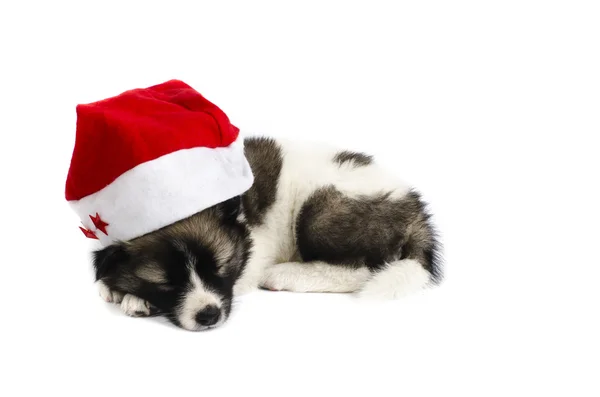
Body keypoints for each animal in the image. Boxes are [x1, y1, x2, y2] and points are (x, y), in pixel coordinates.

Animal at [92, 138, 440, 330]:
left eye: (221, 266)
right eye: (166, 283)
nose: (208, 315)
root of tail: (415, 209)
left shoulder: (255, 250)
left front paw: (134, 297)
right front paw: (113, 286)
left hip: (322, 209)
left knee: (363, 268)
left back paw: (286, 274)